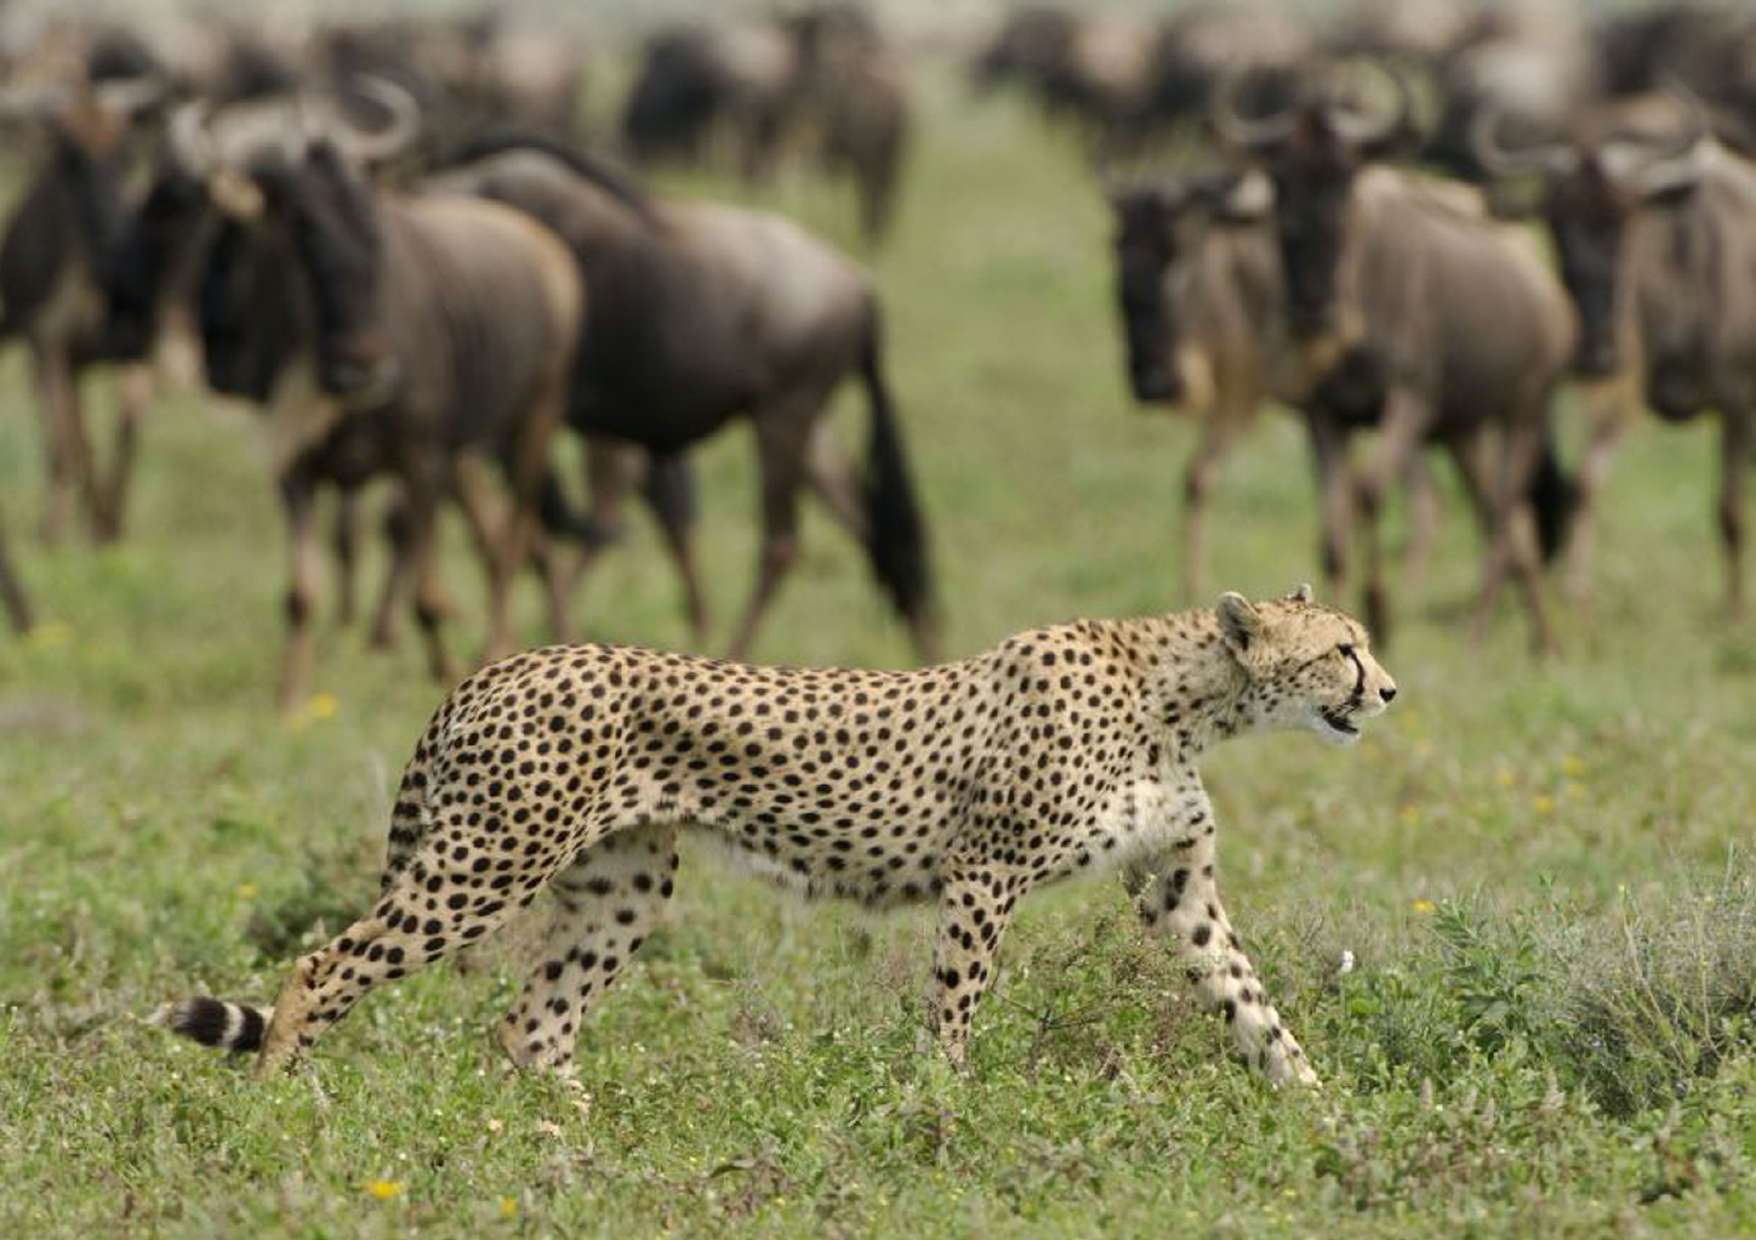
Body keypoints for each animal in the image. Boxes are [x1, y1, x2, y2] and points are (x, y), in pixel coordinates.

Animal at [158, 584, 1395, 1087]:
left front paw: (1322, 1111)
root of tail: (500, 663)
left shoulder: (1172, 884)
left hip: (622, 884)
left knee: (530, 1026)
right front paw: (944, 1114)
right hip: (489, 858)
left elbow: (1252, 1003)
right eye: (1340, 648)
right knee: (324, 963)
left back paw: (577, 1151)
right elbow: (953, 1011)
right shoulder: (983, 871)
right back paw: (285, 1107)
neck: (1184, 696)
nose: (1387, 689)